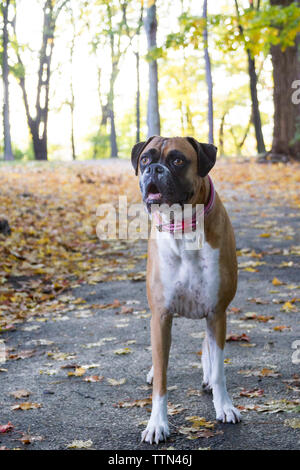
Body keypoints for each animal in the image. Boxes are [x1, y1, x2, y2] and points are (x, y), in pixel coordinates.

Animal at [131, 136, 241, 444]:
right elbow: (162, 379)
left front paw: (224, 405)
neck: (183, 230)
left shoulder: (217, 311)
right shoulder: (161, 316)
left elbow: (219, 368)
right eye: (145, 159)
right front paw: (157, 423)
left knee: (209, 347)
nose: (153, 170)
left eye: (178, 161)